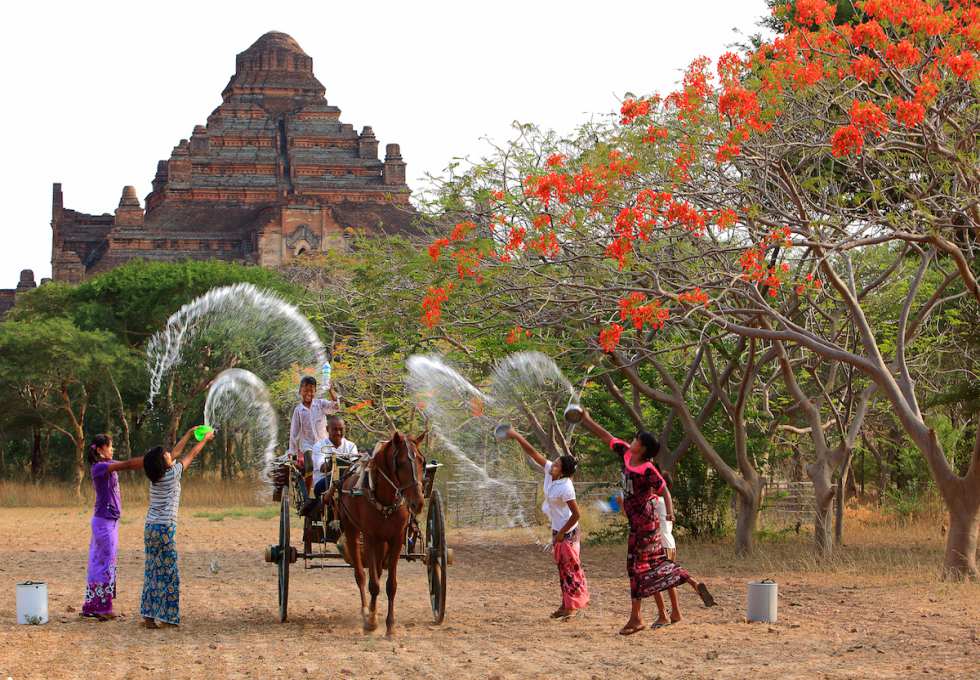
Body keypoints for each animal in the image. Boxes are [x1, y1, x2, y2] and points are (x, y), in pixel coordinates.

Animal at [336, 430, 424, 636]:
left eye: (422, 461)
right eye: (401, 463)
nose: (418, 502)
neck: (385, 499)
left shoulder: (396, 539)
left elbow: (391, 585)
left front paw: (390, 626)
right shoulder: (369, 537)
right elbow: (373, 584)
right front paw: (371, 622)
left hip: (383, 542)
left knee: (378, 570)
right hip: (352, 530)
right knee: (361, 574)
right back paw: (365, 610)